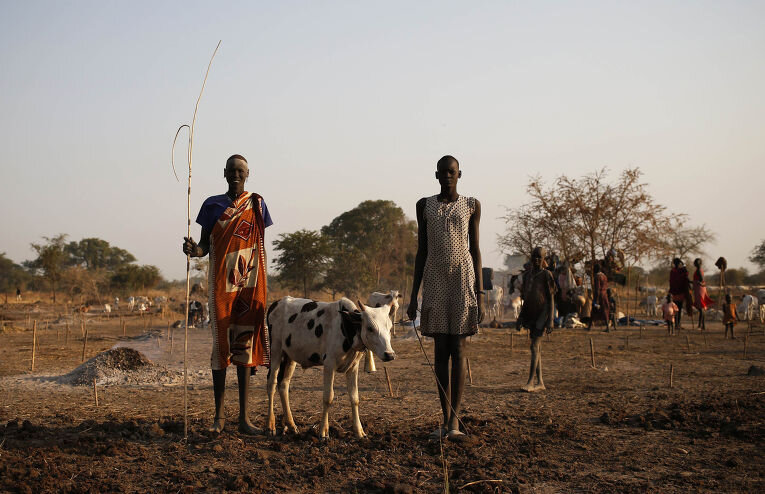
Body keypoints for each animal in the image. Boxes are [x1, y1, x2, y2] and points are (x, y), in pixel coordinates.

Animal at [268, 296, 396, 438]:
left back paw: (291, 425)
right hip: (275, 351)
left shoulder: (353, 367)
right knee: (271, 384)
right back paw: (271, 425)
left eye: (390, 327)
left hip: (290, 357)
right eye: (370, 327)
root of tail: (277, 303)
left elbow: (354, 398)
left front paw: (359, 431)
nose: (389, 354)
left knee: (283, 385)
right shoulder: (329, 365)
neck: (345, 326)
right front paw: (323, 431)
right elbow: (328, 397)